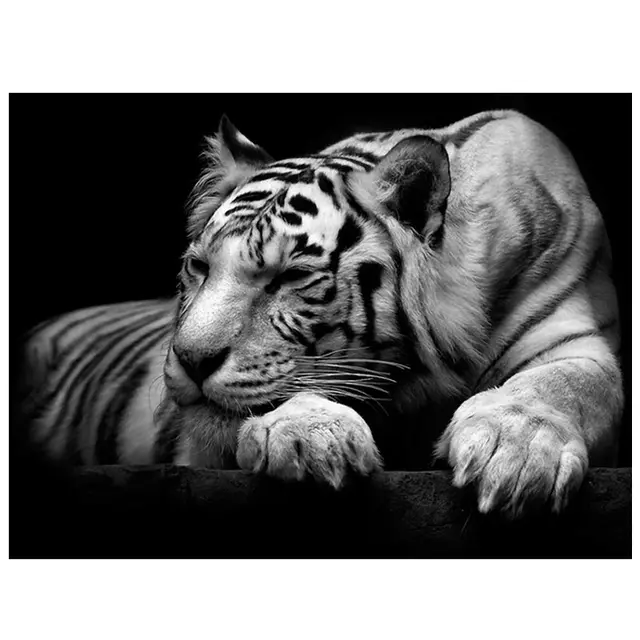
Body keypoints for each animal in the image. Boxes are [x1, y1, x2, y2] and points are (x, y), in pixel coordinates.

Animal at [18, 109, 623, 518]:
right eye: (199, 267)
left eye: (288, 277)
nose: (189, 360)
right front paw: (309, 436)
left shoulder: (575, 339)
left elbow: (564, 385)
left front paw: (514, 451)